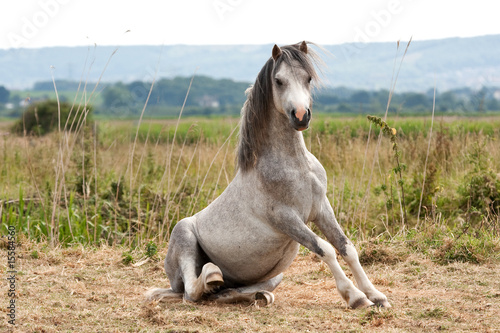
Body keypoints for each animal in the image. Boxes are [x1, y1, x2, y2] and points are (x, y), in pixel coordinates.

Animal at [145, 42, 390, 308]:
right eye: (279, 80)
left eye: (308, 78)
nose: (301, 116)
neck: (296, 166)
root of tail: (173, 284)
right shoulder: (286, 218)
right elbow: (325, 249)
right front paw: (356, 297)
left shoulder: (322, 209)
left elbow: (347, 248)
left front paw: (377, 296)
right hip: (184, 237)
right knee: (191, 291)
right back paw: (211, 276)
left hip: (275, 275)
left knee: (230, 291)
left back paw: (248, 293)